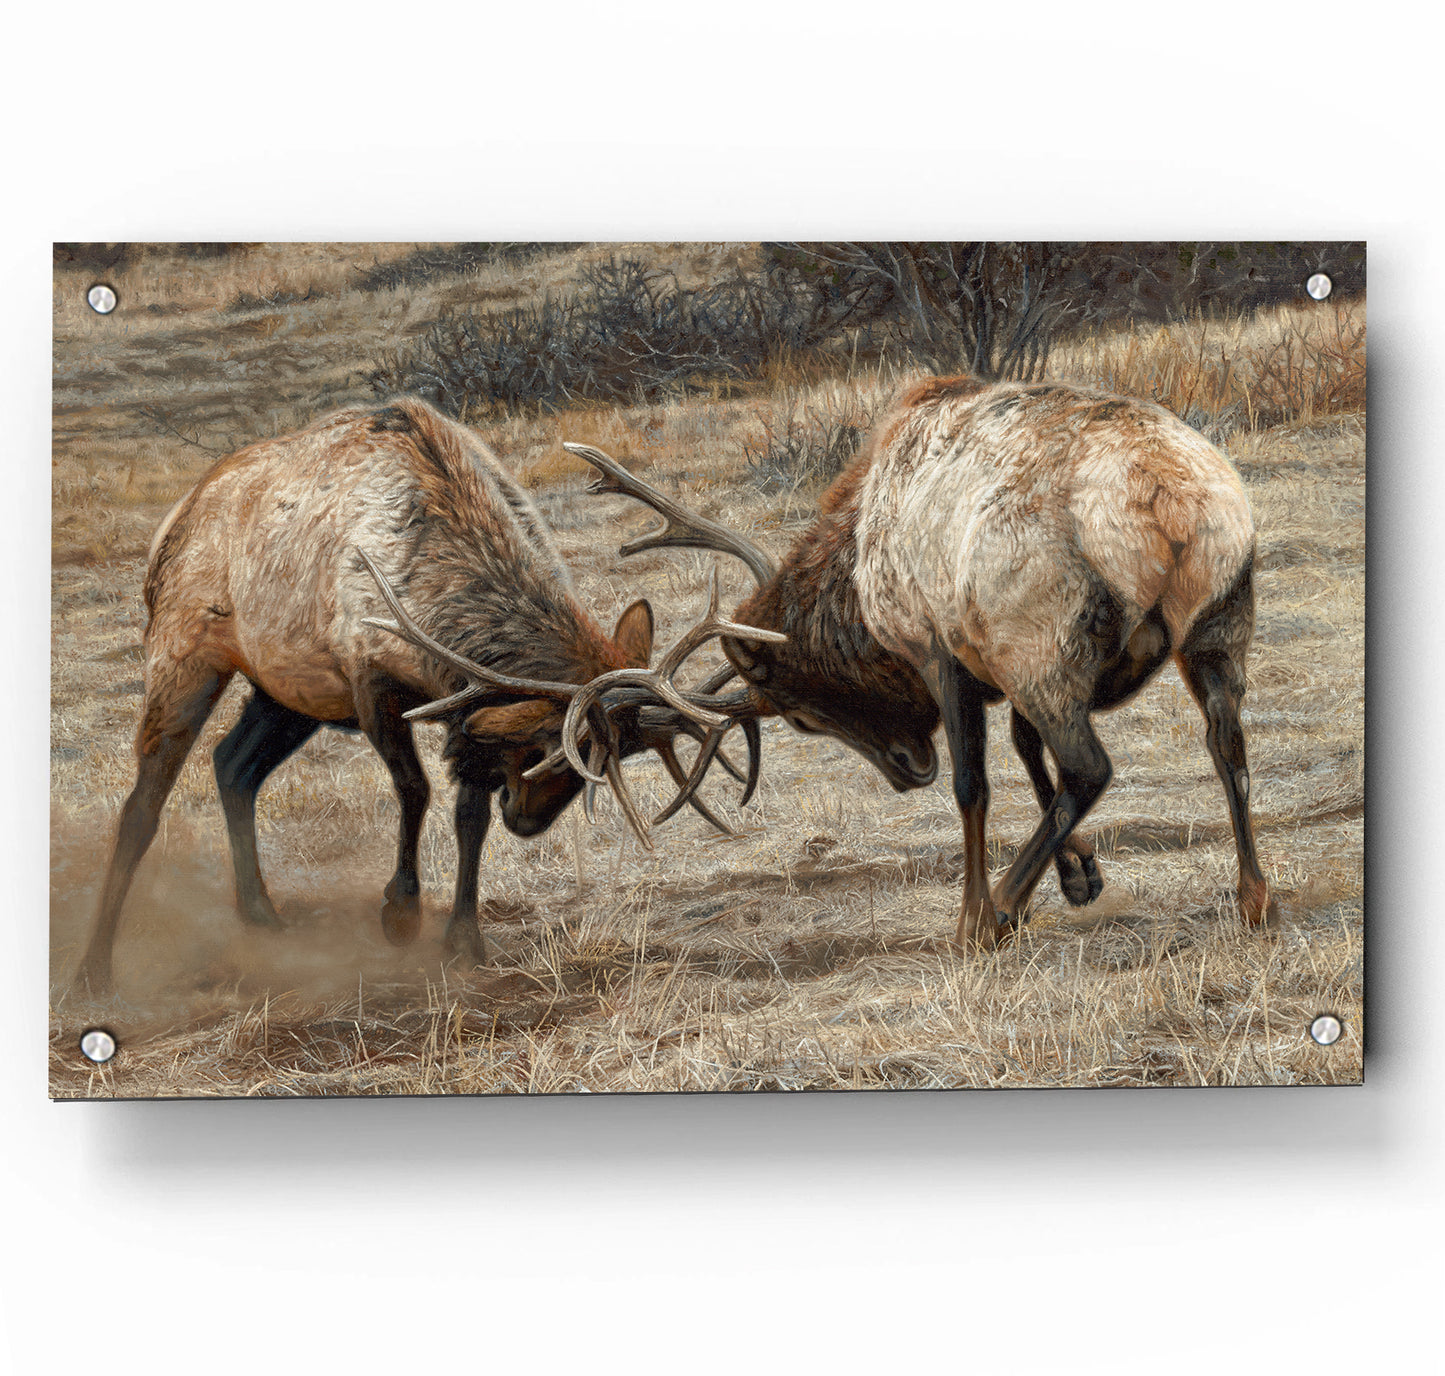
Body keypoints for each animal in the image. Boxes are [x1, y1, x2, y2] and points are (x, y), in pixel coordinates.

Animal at [75, 398, 777, 996]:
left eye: (611, 758)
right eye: (555, 747)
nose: (529, 821)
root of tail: (172, 522)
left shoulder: (460, 708)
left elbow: (469, 817)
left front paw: (464, 939)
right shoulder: (370, 678)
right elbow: (415, 789)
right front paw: (400, 912)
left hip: (288, 694)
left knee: (233, 765)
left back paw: (262, 917)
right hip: (184, 650)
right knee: (143, 803)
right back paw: (94, 970)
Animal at [566, 373, 1277, 949]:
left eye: (799, 717)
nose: (909, 770)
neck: (857, 575)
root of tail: (1171, 502)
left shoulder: (944, 651)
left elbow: (974, 785)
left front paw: (978, 912)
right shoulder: (992, 660)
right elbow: (1026, 751)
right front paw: (1079, 877)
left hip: (1042, 639)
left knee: (1089, 767)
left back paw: (998, 911)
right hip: (1218, 623)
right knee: (1227, 742)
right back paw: (1252, 897)